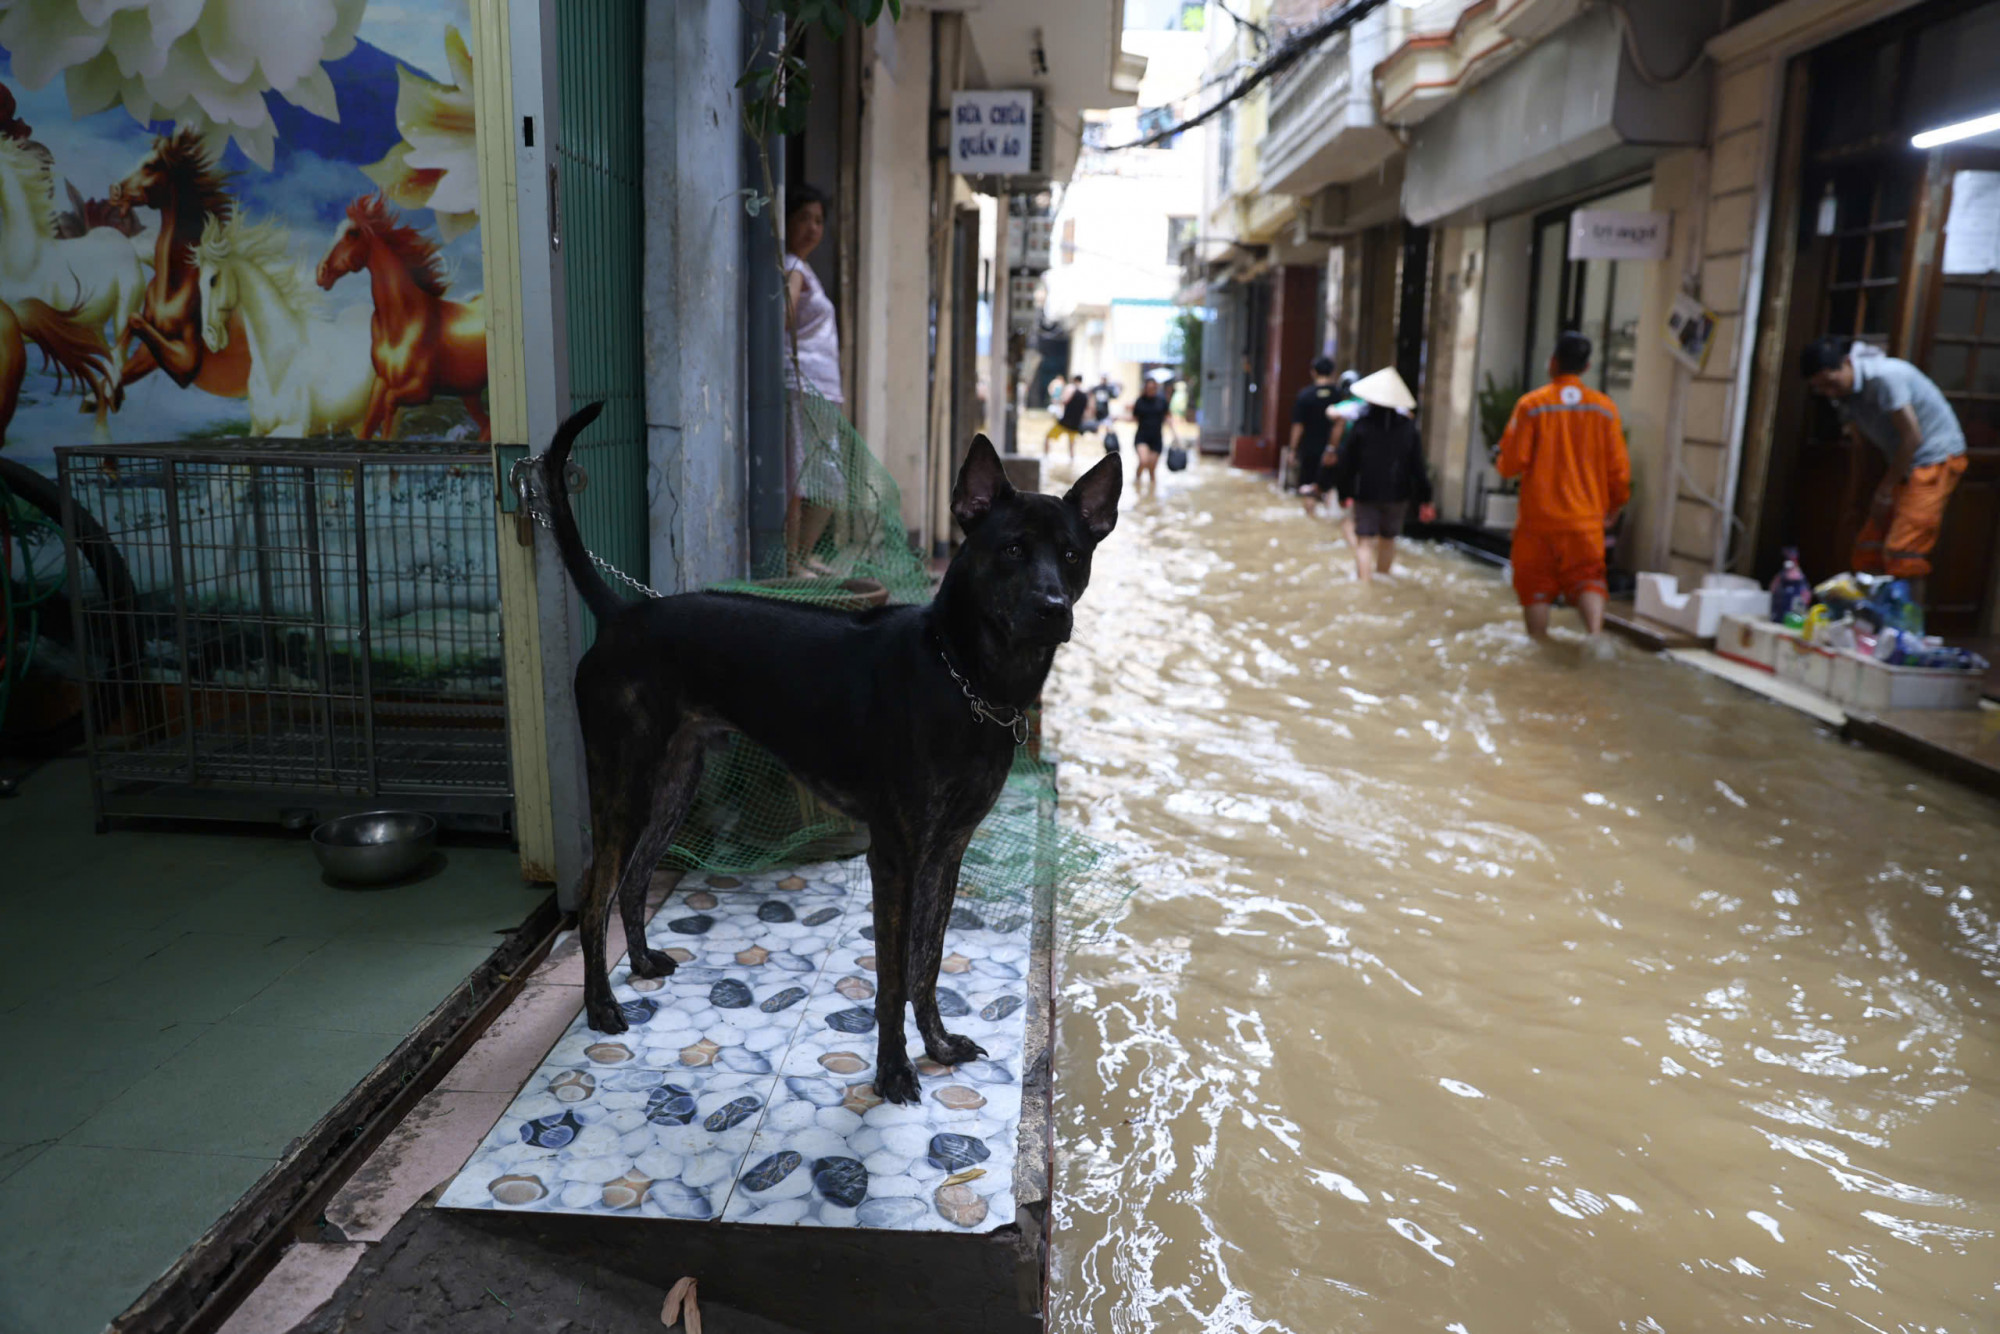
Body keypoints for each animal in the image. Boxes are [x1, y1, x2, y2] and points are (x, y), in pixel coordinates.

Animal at [0, 137, 146, 418]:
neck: (22, 259)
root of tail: (121, 239)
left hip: (124, 311)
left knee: (119, 351)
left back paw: (99, 400)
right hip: (93, 322)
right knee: (106, 353)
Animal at [110, 130, 252, 402]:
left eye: (151, 165)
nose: (115, 190)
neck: (175, 285)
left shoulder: (187, 363)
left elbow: (133, 320)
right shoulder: (151, 350)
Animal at [196, 211, 376, 436]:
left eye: (213, 279)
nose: (210, 337)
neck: (279, 363)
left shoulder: (294, 428)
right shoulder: (258, 428)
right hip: (357, 422)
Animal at [322, 193, 494, 438]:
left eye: (352, 233)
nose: (321, 272)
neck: (402, 322)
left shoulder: (421, 390)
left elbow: (389, 407)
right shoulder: (381, 382)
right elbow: (368, 423)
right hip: (469, 392)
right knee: (486, 426)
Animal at [540, 404, 1120, 1104]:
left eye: (1072, 555)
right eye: (1011, 549)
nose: (1053, 608)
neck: (964, 677)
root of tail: (621, 615)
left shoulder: (947, 852)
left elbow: (928, 964)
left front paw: (938, 1046)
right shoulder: (894, 856)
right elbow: (893, 978)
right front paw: (893, 1072)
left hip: (676, 782)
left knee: (633, 879)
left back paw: (645, 962)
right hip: (624, 785)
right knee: (594, 896)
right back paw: (601, 1004)